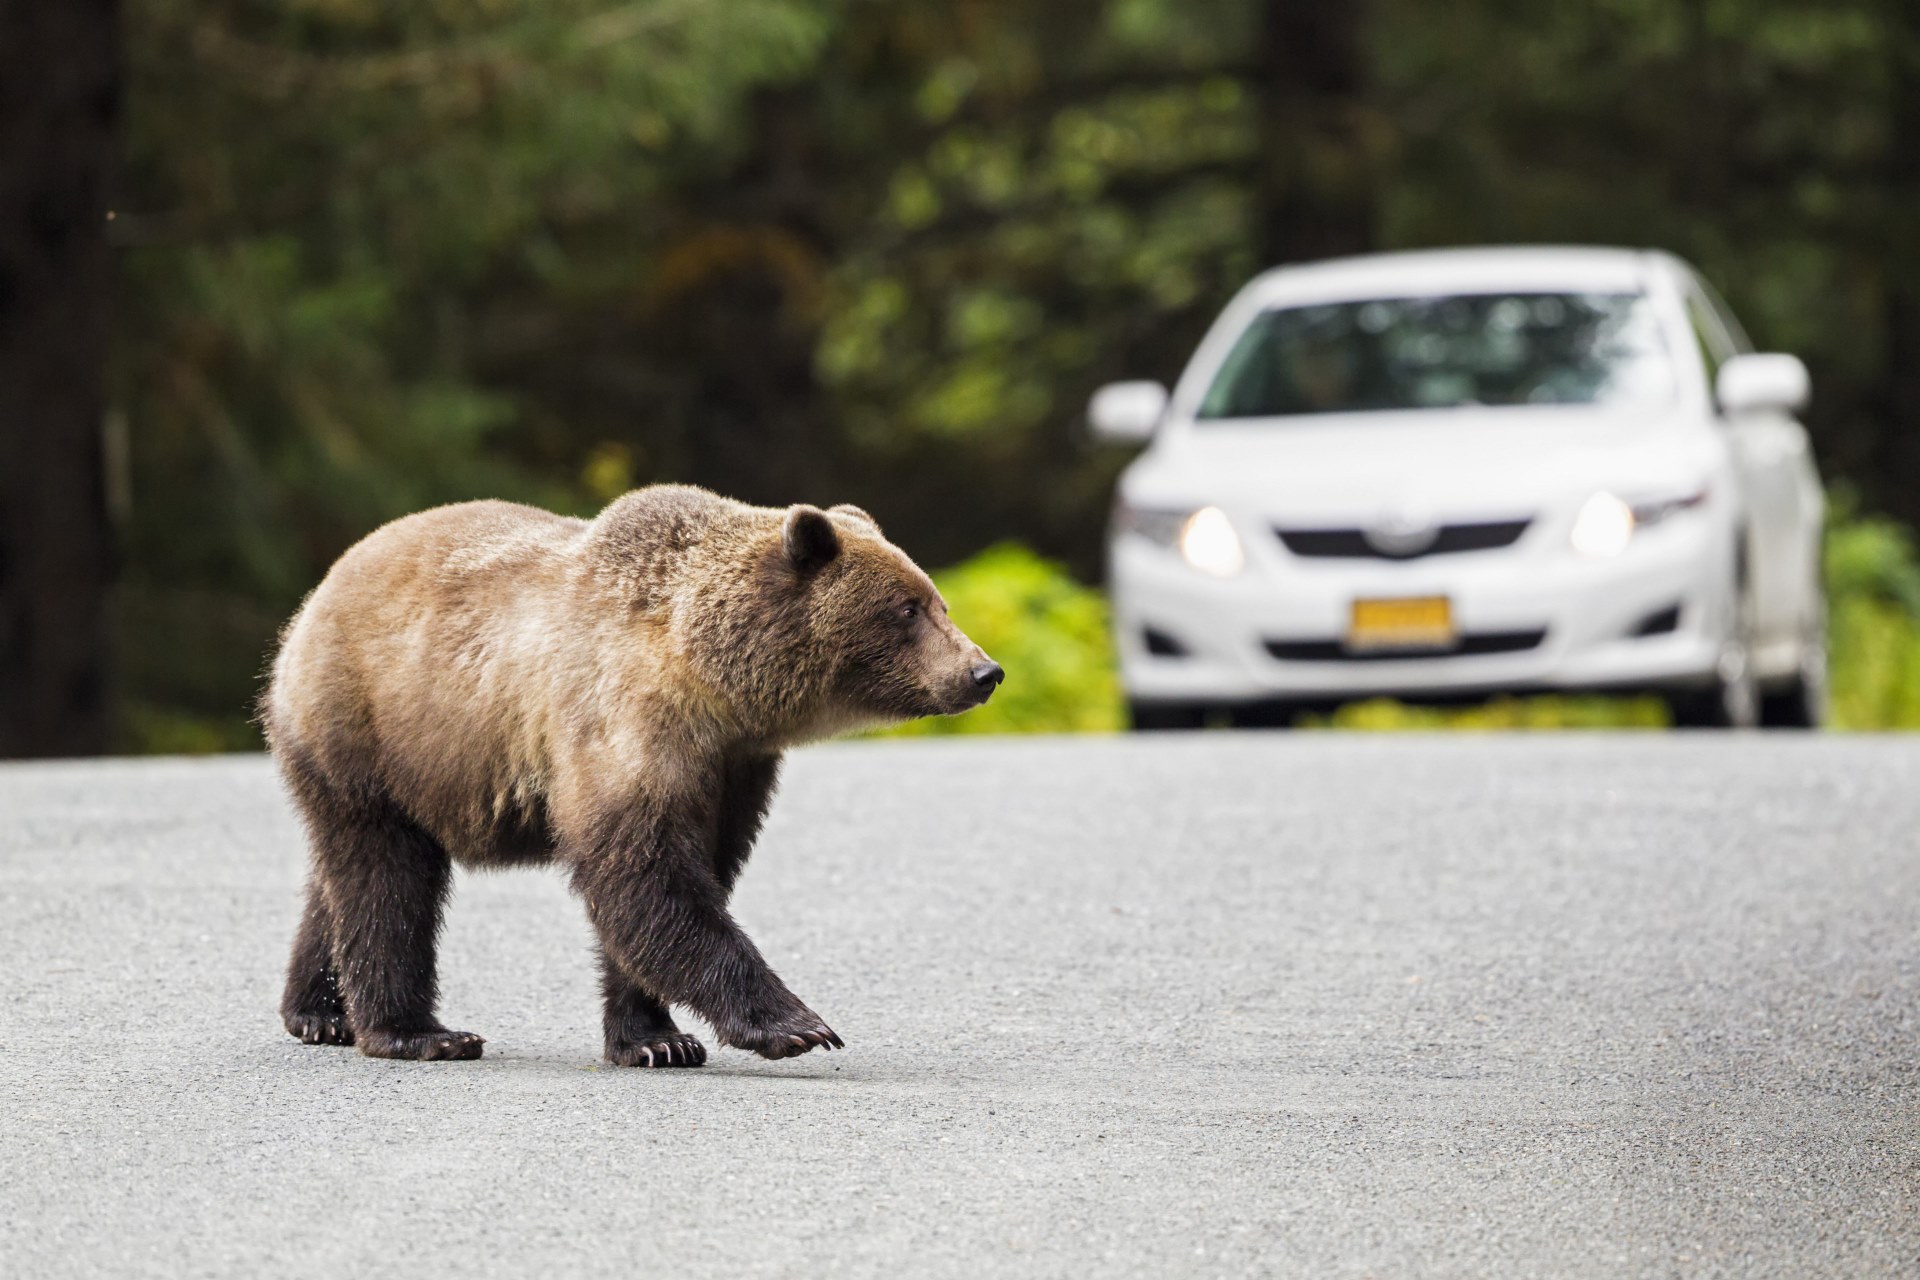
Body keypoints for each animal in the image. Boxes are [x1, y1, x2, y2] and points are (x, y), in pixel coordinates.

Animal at [263, 485, 1006, 1066]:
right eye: (906, 608)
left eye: (937, 601)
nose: (983, 671)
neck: (714, 684)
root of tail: (315, 597)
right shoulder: (622, 724)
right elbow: (647, 876)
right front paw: (795, 1025)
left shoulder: (733, 768)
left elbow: (693, 873)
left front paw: (655, 1038)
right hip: (370, 730)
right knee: (387, 880)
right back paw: (417, 1032)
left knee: (343, 880)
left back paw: (319, 1012)